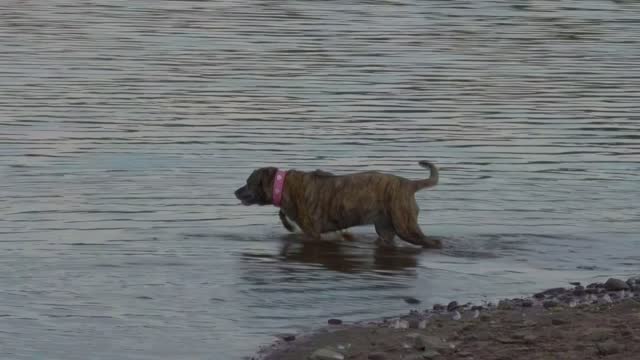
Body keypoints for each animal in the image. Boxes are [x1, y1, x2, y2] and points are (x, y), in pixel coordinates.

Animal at [234, 162, 440, 249]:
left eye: (248, 182)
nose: (235, 191)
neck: (282, 185)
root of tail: (409, 184)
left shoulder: (312, 233)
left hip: (405, 226)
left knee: (433, 242)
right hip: (385, 229)